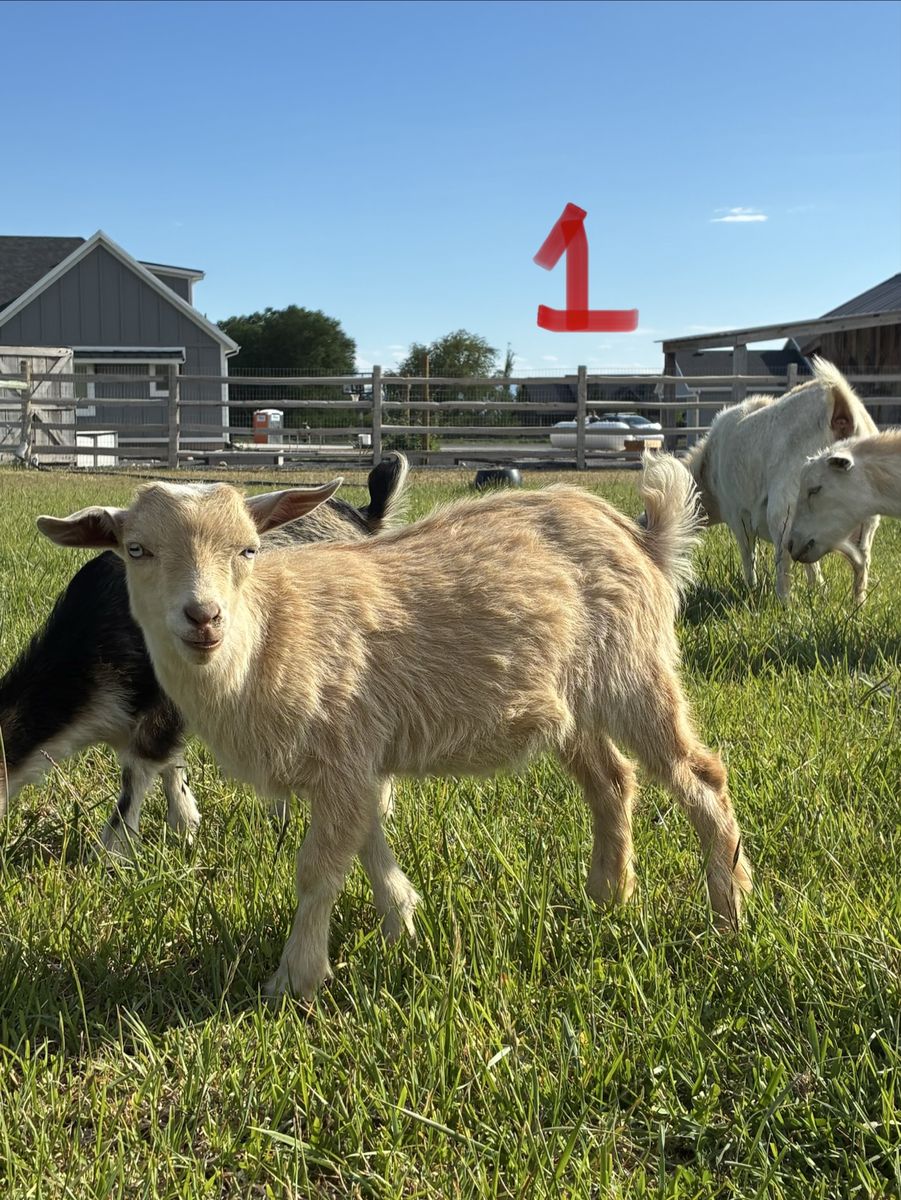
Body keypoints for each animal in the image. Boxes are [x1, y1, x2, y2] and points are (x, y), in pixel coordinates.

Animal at [0, 454, 408, 854]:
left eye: (248, 548)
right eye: (136, 549)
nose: (204, 617)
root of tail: (365, 519)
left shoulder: (163, 708)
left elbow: (139, 769)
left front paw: (113, 854)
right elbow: (170, 764)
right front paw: (186, 825)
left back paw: (377, 809)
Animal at [686, 358, 879, 602]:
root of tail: (840, 407)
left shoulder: (737, 515)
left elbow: (748, 556)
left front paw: (752, 588)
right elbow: (811, 561)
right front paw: (818, 590)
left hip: (787, 503)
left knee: (785, 554)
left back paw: (784, 601)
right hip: (865, 517)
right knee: (862, 560)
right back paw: (858, 602)